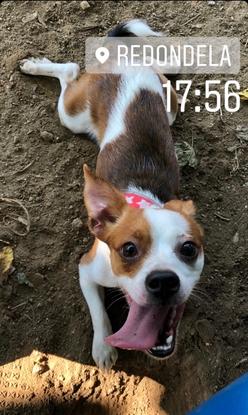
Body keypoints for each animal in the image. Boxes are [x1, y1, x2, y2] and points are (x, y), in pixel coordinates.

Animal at [20, 19, 203, 370]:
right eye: (128, 250)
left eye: (188, 249)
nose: (164, 280)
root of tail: (121, 58)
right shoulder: (86, 271)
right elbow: (99, 313)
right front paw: (103, 348)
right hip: (71, 114)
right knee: (69, 71)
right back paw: (37, 66)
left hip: (169, 103)